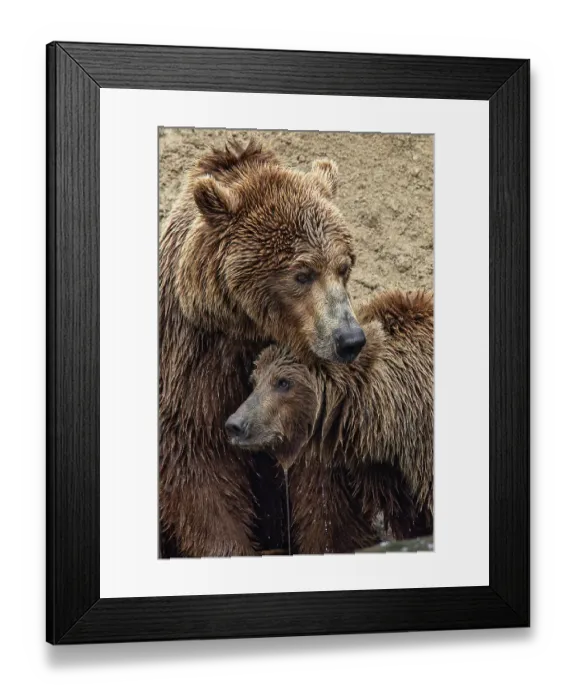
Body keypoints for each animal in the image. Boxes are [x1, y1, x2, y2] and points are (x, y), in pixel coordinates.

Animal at [159, 138, 367, 557]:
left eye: (344, 266)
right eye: (302, 274)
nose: (349, 339)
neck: (250, 326)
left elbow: (319, 477)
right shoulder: (195, 355)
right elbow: (197, 457)